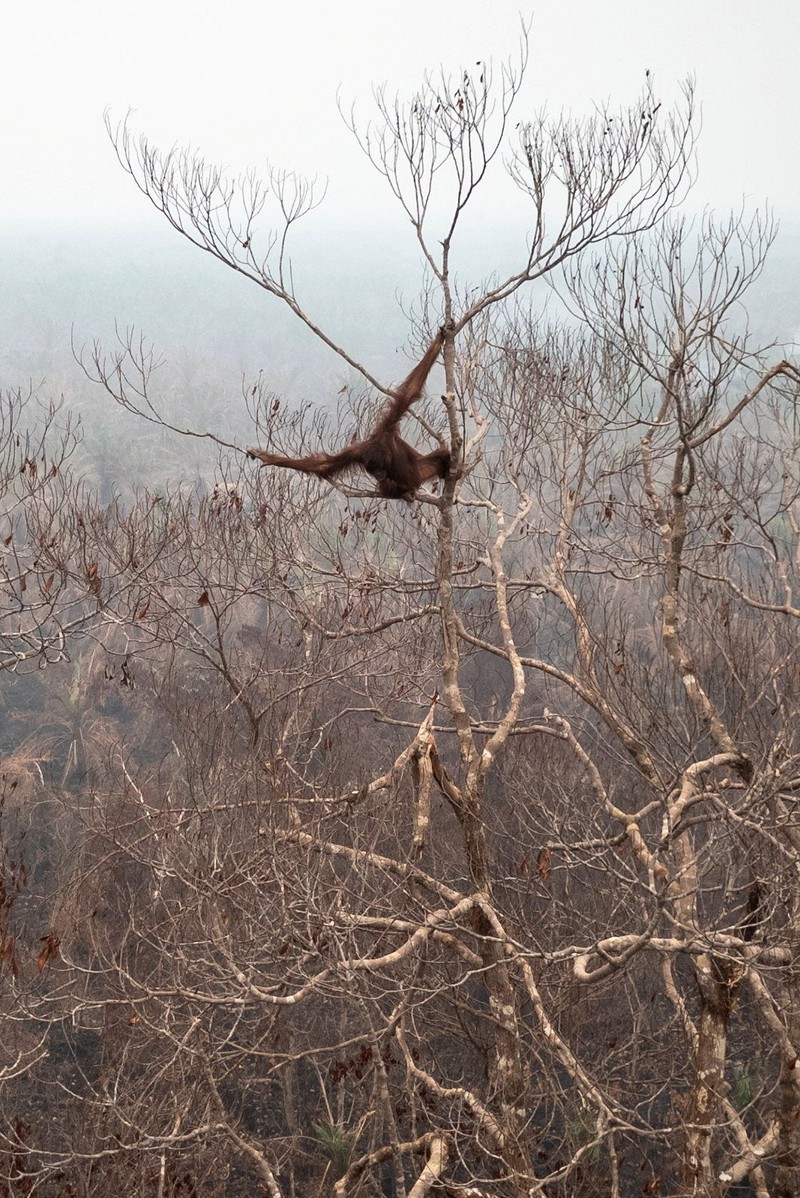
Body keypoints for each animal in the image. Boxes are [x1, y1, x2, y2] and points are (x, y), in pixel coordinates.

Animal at [247, 331, 449, 500]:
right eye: (372, 470)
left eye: (379, 468)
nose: (379, 475)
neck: (381, 448)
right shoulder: (357, 453)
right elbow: (324, 465)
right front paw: (267, 457)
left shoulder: (387, 428)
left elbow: (410, 391)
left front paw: (439, 340)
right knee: (391, 484)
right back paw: (404, 493)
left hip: (421, 471)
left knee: (442, 457)